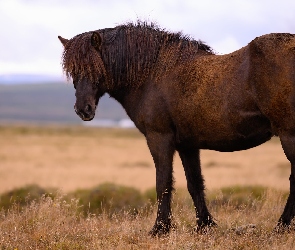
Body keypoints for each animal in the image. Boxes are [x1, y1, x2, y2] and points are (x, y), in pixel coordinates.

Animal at [59, 22, 295, 236]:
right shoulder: (187, 145)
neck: (151, 74)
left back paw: (281, 226)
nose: (83, 109)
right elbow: (195, 183)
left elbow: (163, 182)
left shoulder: (159, 139)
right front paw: (204, 226)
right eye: (72, 71)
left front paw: (160, 229)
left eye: (95, 67)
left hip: (288, 136)